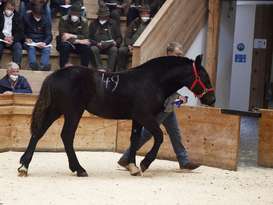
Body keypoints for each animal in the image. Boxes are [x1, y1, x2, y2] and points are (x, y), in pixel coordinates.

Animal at [17, 55, 215, 177]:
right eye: (204, 76)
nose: (212, 99)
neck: (153, 81)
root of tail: (55, 74)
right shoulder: (145, 116)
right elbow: (159, 137)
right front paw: (144, 163)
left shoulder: (137, 118)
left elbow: (134, 139)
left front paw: (133, 166)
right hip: (73, 112)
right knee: (66, 136)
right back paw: (79, 169)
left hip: (56, 110)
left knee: (38, 133)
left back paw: (24, 166)